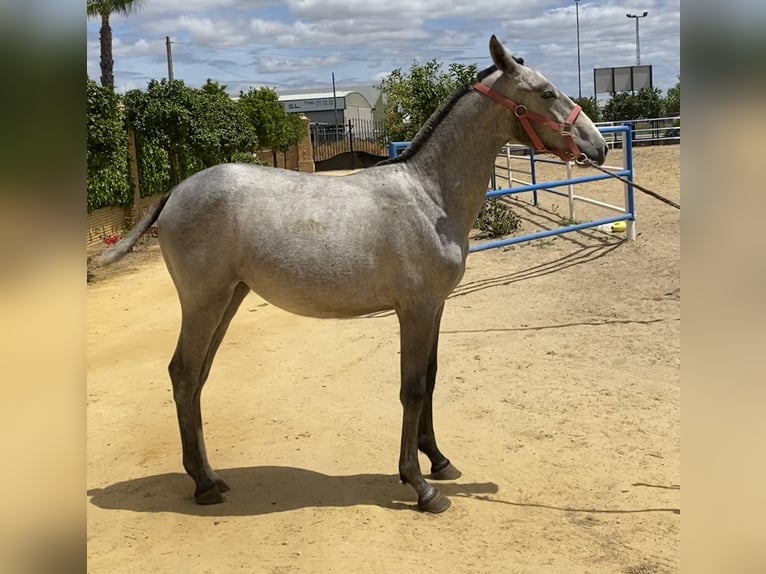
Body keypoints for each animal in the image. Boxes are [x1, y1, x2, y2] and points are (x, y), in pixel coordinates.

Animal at [99, 35, 608, 512]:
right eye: (546, 92)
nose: (598, 146)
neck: (429, 196)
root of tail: (175, 192)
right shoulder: (415, 311)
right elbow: (412, 389)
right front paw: (420, 486)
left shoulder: (435, 308)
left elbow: (431, 378)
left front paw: (439, 461)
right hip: (204, 302)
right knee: (184, 374)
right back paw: (204, 484)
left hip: (228, 299)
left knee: (197, 377)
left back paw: (210, 477)